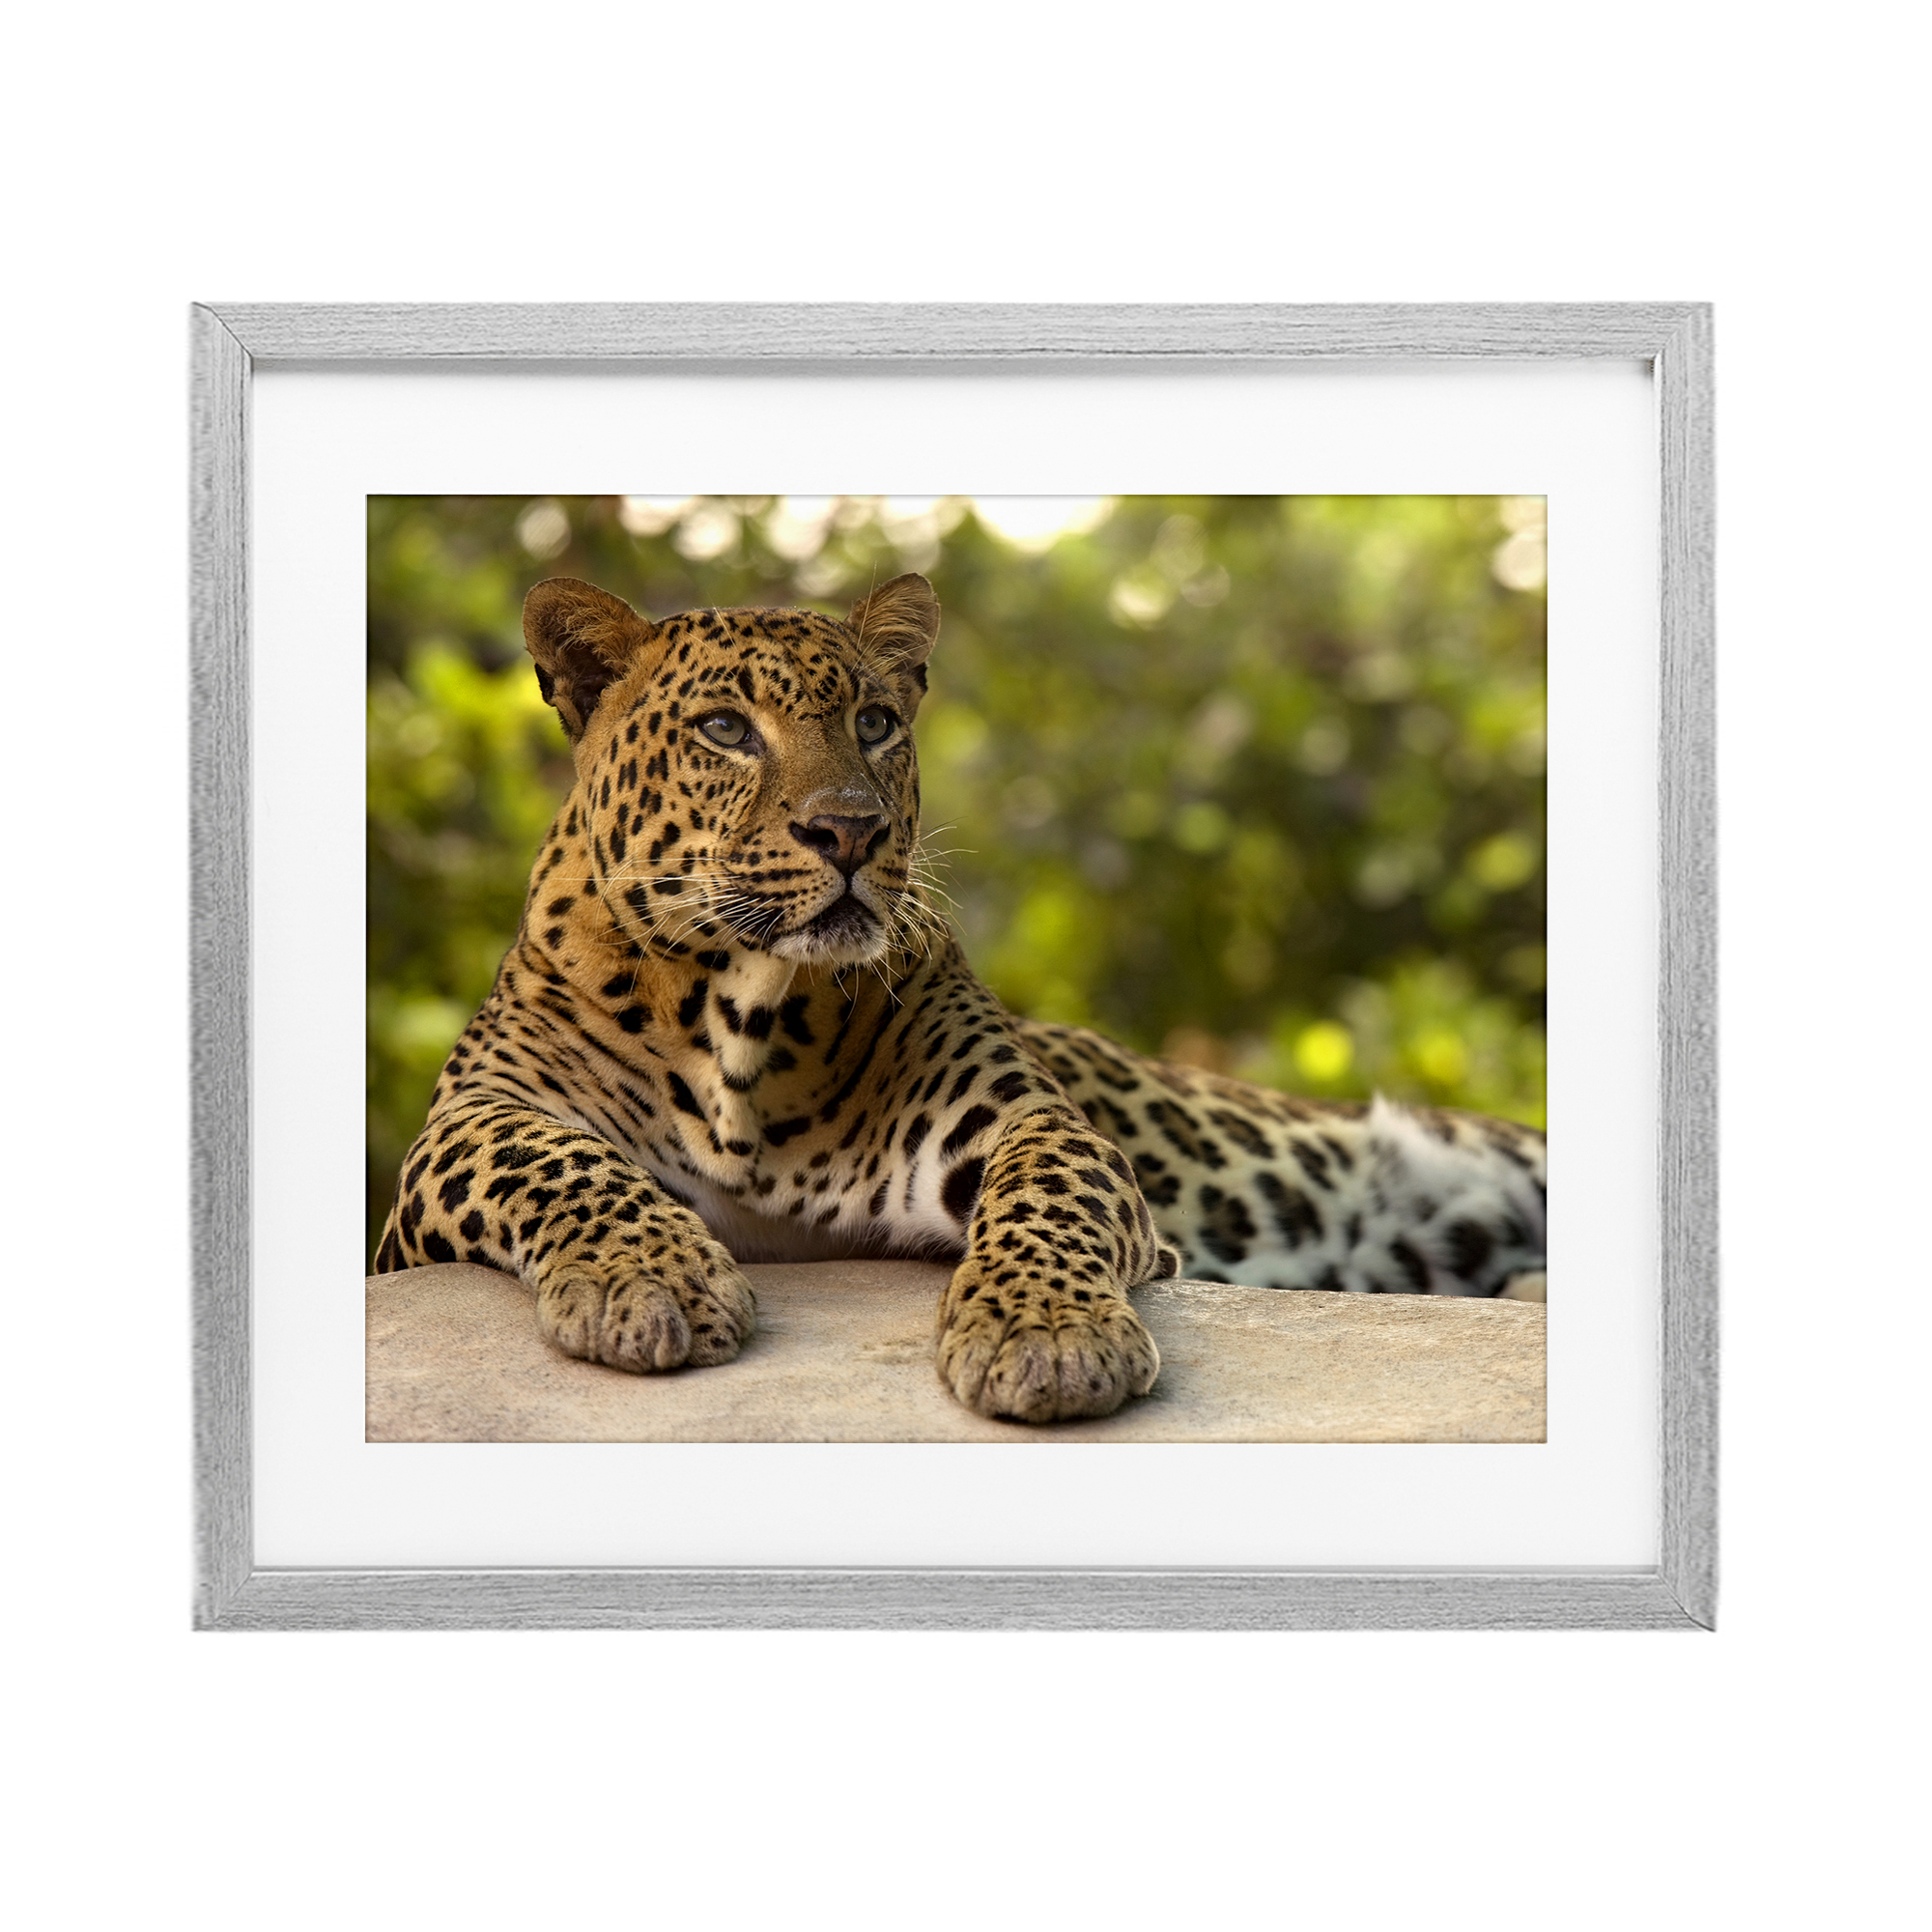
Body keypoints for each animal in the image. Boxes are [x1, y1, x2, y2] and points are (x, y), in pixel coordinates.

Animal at [374, 571, 1547, 1423]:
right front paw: (648, 1280)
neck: (743, 1015)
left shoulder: (1019, 1118)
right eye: (724, 729)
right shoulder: (458, 1132)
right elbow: (552, 1157)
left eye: (875, 721)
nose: (849, 831)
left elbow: (1046, 1193)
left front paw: (1046, 1336)